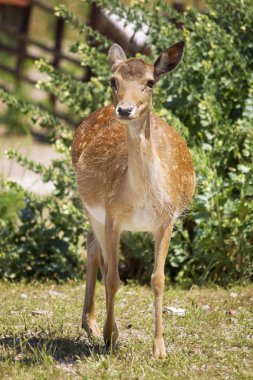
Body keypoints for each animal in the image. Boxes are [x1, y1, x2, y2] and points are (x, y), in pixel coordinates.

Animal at [71, 41, 196, 360]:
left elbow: (158, 279)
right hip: (89, 207)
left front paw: (160, 349)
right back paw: (95, 327)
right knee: (95, 250)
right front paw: (110, 338)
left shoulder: (167, 219)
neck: (141, 199)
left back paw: (91, 324)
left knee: (92, 246)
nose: (125, 109)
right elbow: (114, 278)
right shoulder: (113, 215)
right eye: (113, 81)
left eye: (150, 82)